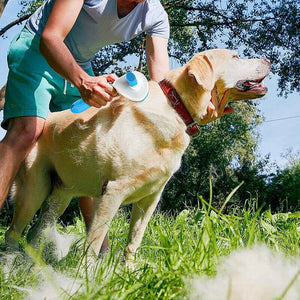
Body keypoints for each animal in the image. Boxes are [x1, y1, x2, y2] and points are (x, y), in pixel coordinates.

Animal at [5, 48, 270, 262]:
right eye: (235, 57)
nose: (268, 59)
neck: (175, 107)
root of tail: (46, 119)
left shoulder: (150, 199)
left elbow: (133, 242)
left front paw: (130, 272)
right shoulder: (113, 192)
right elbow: (94, 242)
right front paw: (86, 278)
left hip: (60, 197)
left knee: (36, 235)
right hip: (33, 191)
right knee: (13, 232)